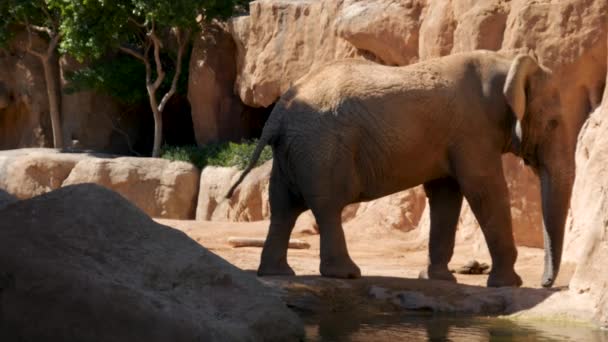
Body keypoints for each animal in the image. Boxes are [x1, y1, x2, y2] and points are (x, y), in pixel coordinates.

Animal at [228, 49, 576, 288]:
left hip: (294, 152)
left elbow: (446, 194)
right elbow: (484, 189)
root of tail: (277, 114)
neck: (507, 61)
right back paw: (346, 274)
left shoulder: (453, 137)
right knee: (326, 206)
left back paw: (277, 273)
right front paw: (509, 284)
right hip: (320, 148)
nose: (547, 283)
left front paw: (438, 280)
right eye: (554, 123)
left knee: (283, 209)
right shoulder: (472, 131)